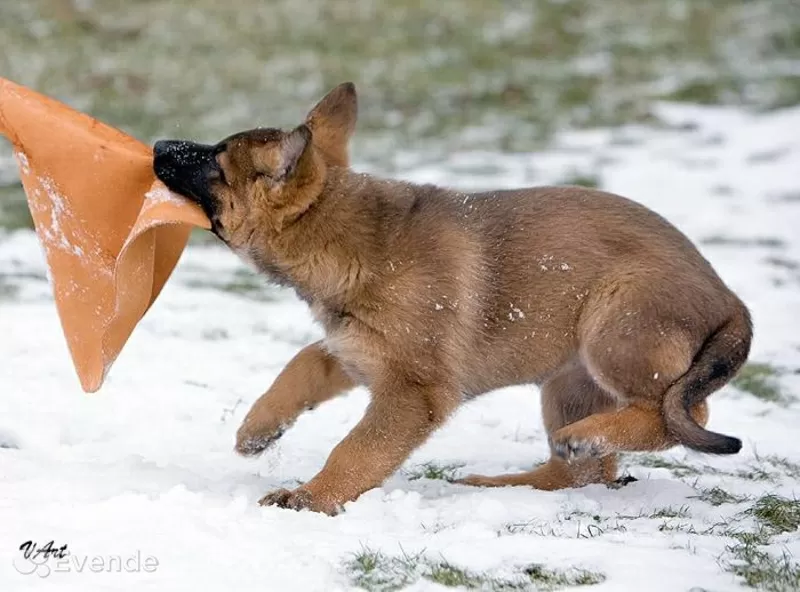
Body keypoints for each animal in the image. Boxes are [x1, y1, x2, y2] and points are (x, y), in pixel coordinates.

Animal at [155, 82, 752, 512]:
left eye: (214, 160)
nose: (158, 143)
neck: (349, 238)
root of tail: (731, 299)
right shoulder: (355, 351)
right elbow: (298, 366)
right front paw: (257, 431)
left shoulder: (413, 391)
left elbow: (358, 448)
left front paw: (311, 497)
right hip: (569, 380)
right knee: (582, 473)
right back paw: (510, 480)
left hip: (615, 327)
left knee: (682, 409)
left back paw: (580, 440)